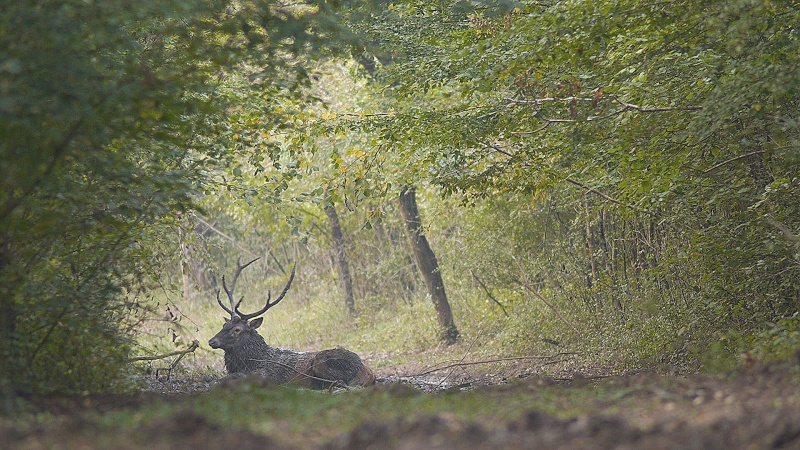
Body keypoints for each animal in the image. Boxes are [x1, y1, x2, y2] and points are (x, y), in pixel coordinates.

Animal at [208, 258, 374, 388]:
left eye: (237, 330)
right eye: (224, 325)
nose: (211, 341)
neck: (250, 360)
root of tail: (367, 370)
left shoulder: (264, 374)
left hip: (322, 363)